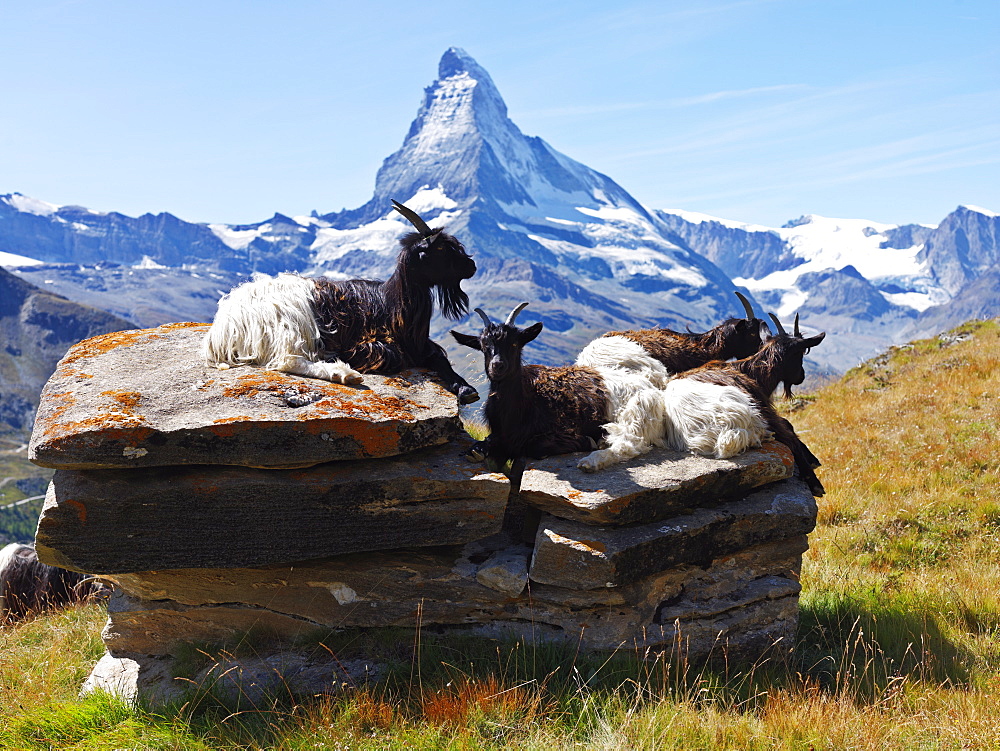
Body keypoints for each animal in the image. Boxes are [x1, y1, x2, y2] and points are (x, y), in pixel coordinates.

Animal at [200, 198, 480, 400]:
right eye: (441, 249)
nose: (472, 266)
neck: (391, 301)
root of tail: (222, 327)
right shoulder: (371, 341)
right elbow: (392, 354)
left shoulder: (421, 344)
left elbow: (439, 356)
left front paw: (467, 389)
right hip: (287, 326)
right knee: (287, 359)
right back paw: (344, 374)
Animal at [454, 306, 772, 476]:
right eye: (483, 346)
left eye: (515, 343)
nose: (497, 366)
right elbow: (482, 447)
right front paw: (478, 452)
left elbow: (530, 446)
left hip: (638, 409)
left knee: (631, 443)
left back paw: (591, 459)